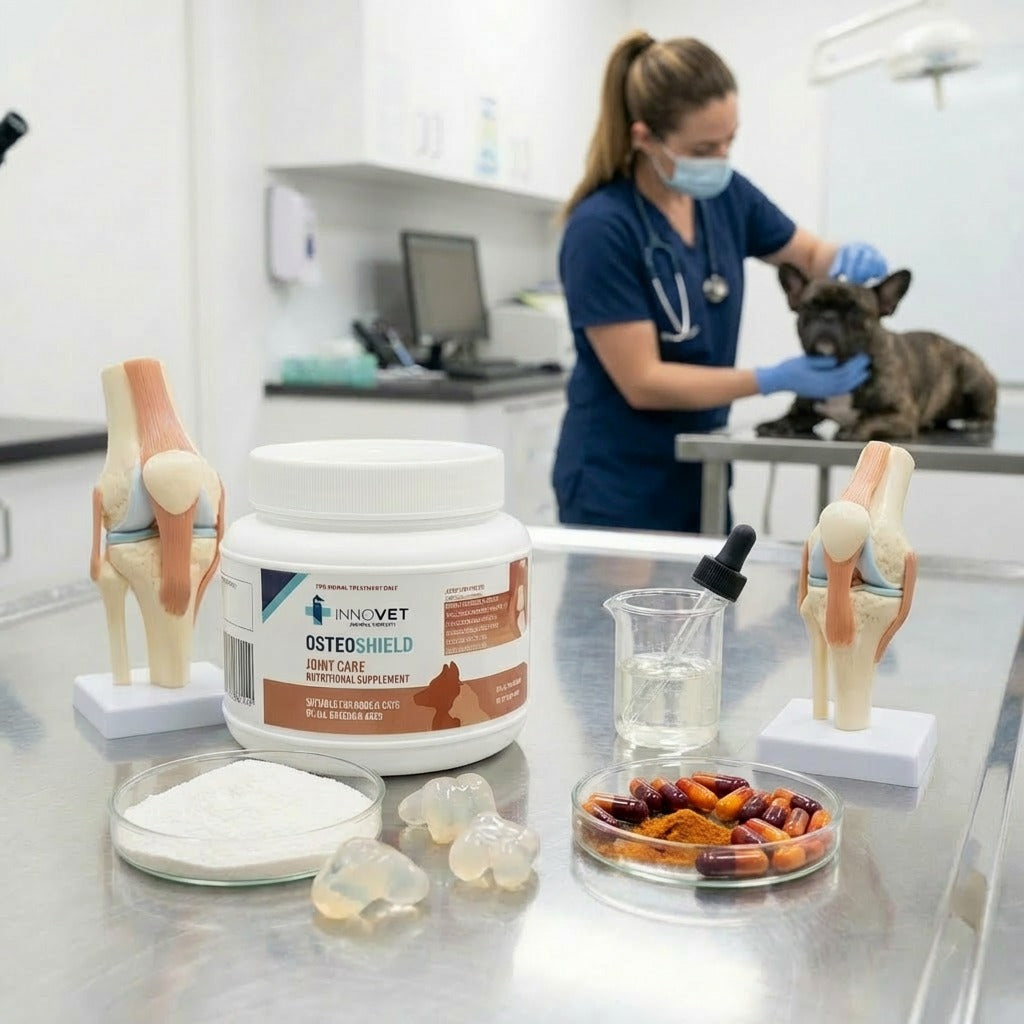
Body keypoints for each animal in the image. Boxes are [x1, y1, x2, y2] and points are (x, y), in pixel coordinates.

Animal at [755, 265, 997, 441]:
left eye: (855, 310)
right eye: (809, 306)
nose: (828, 317)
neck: (839, 366)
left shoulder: (901, 415)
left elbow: (871, 419)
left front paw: (853, 429)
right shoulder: (804, 411)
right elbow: (790, 417)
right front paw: (775, 424)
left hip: (972, 374)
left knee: (987, 410)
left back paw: (978, 420)